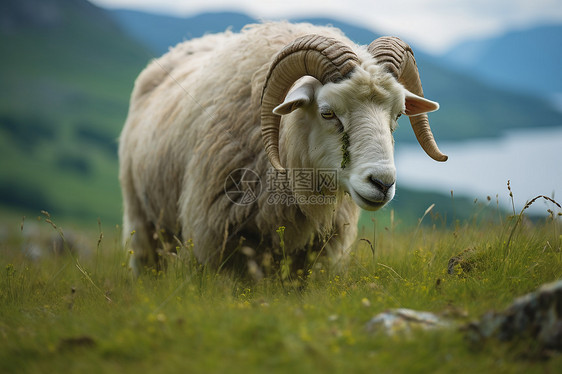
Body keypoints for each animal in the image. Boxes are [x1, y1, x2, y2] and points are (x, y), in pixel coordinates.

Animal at [118, 21, 446, 274]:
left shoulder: (314, 252)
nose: (383, 183)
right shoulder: (219, 241)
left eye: (398, 115)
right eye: (327, 112)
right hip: (142, 216)